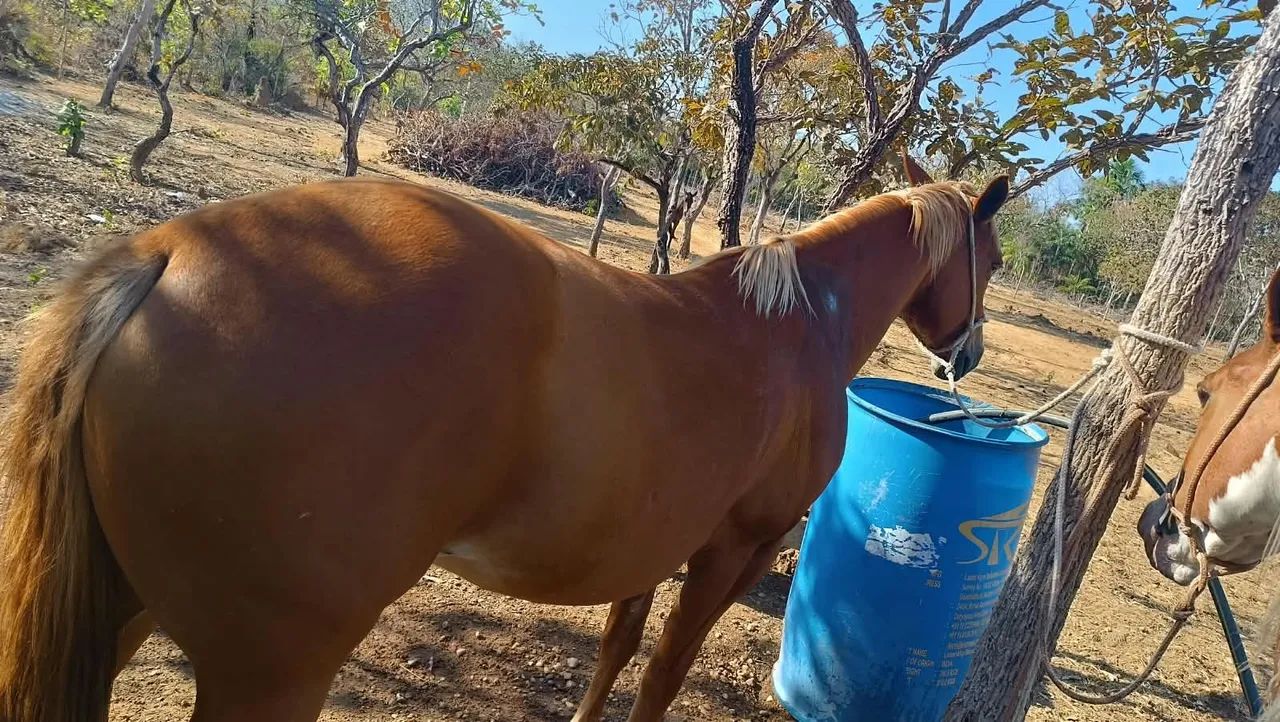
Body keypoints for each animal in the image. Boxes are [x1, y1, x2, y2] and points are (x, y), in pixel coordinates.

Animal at [0, 157, 1008, 722]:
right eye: (992, 261)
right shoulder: (734, 549)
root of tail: (163, 256)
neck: (800, 327)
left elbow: (616, 651)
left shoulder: (652, 541)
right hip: (267, 669)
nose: (969, 351)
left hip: (119, 606)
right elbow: (661, 676)